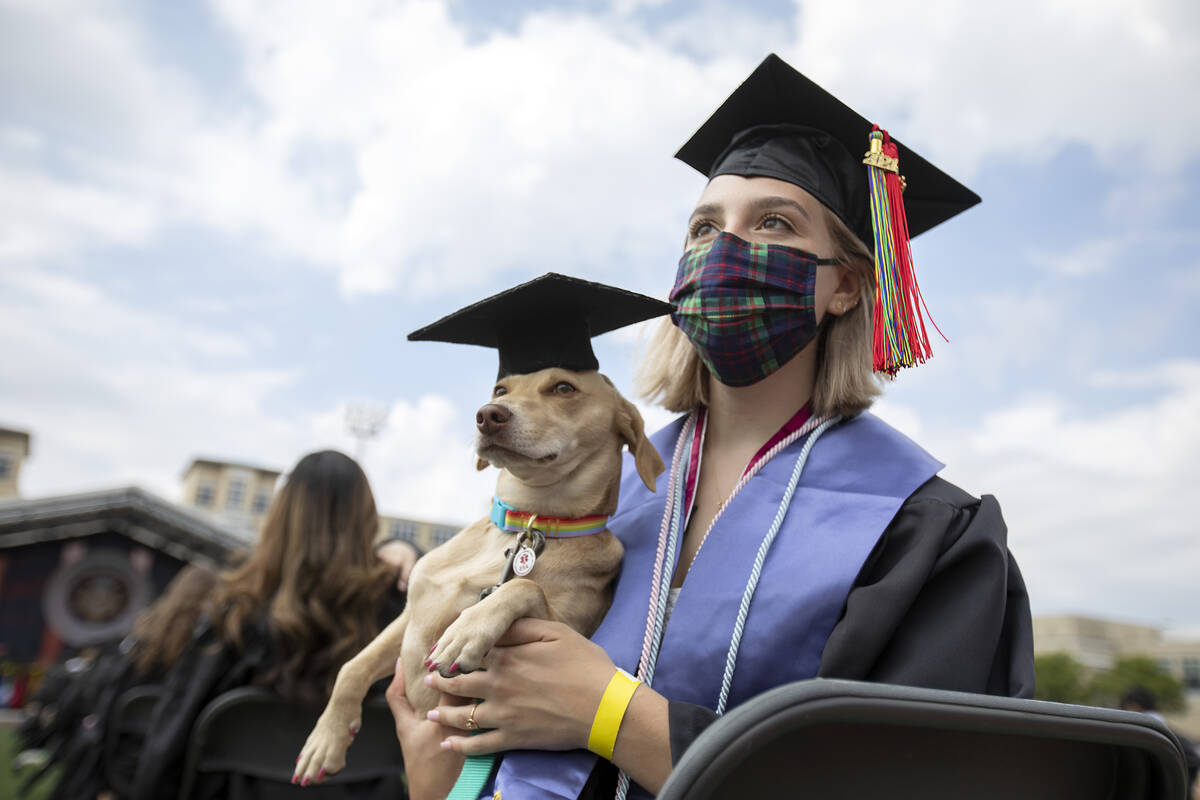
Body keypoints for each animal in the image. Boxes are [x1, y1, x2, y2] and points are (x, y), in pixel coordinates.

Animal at [294, 371, 662, 786]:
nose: (488, 415)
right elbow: (352, 666)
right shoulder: (409, 618)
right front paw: (326, 739)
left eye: (564, 388)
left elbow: (523, 585)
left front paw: (466, 632)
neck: (524, 525)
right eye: (501, 390)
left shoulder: (568, 634)